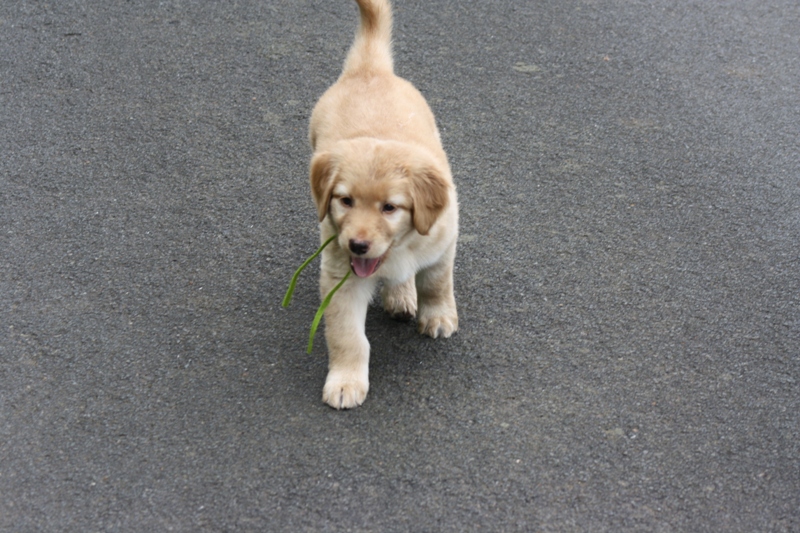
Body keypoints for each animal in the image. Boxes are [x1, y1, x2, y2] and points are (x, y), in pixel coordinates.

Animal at [308, 0, 458, 409]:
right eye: (345, 201)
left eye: (389, 208)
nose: (358, 245)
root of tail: (369, 70)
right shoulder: (340, 279)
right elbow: (347, 336)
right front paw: (345, 381)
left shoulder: (443, 242)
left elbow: (437, 283)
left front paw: (438, 316)